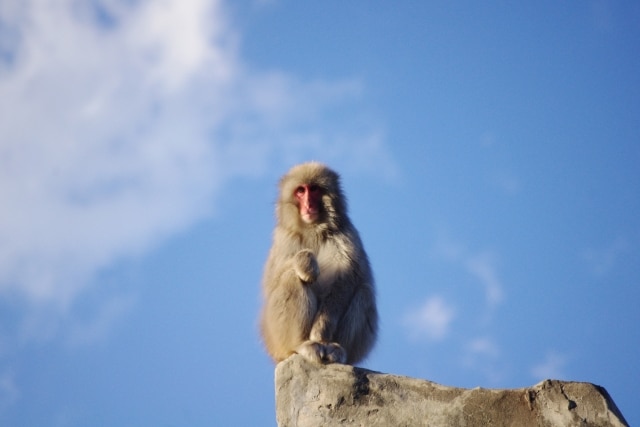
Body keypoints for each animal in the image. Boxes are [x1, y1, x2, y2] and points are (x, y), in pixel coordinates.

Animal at [260, 162, 378, 366]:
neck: (312, 228)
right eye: (300, 191)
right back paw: (301, 344)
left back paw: (336, 349)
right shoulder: (284, 237)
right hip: (275, 337)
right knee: (291, 278)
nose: (308, 204)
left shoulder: (346, 233)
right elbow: (272, 281)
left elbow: (347, 280)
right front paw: (305, 261)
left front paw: (320, 334)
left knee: (364, 291)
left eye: (314, 189)